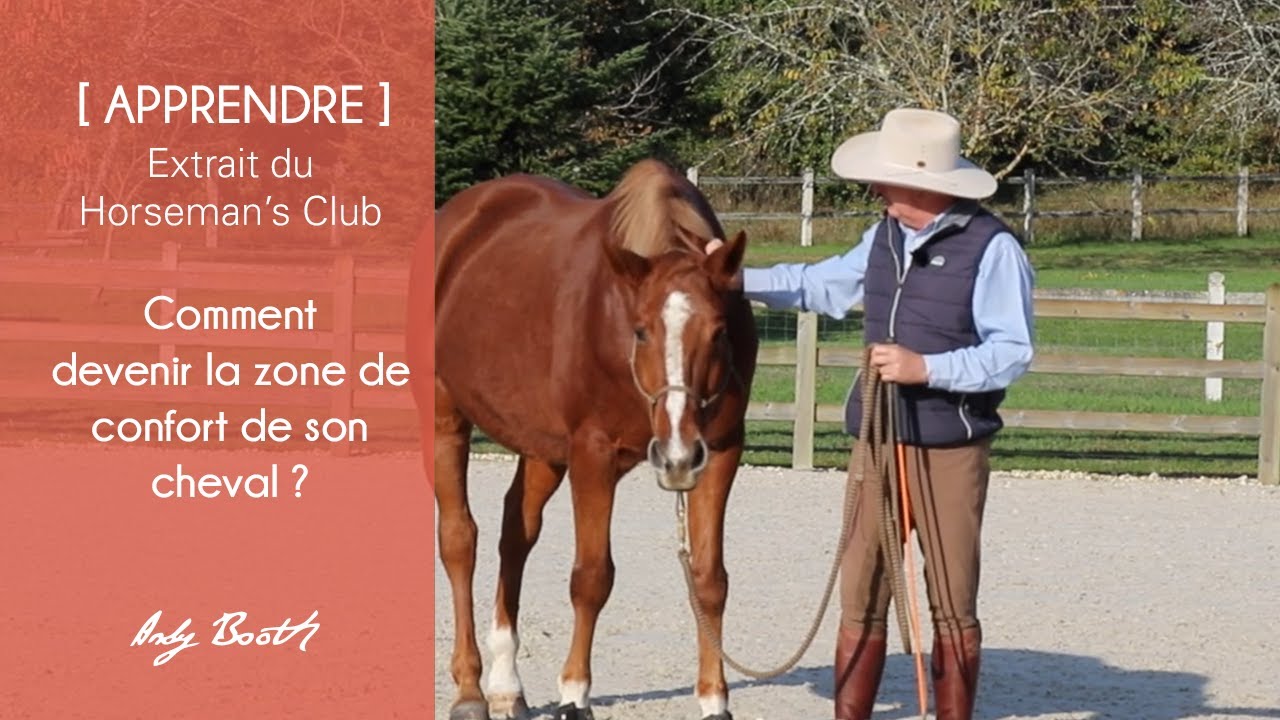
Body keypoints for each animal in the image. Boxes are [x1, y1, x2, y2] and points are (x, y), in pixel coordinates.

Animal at [406, 159, 759, 720]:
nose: (677, 456)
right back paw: (470, 689)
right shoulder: (593, 454)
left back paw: (507, 686)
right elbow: (591, 578)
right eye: (641, 331)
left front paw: (714, 699)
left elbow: (709, 580)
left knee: (515, 534)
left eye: (719, 332)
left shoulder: (720, 452)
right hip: (445, 422)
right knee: (459, 540)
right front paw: (574, 693)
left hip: (544, 449)